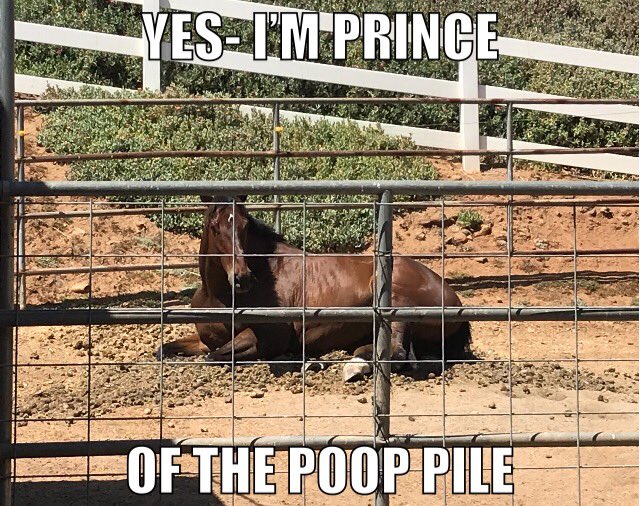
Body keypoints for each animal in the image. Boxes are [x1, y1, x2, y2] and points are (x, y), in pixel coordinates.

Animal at [158, 196, 471, 380]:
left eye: (246, 225)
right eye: (214, 226)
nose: (243, 278)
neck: (221, 297)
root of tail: (452, 297)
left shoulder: (268, 338)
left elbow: (215, 356)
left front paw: (294, 357)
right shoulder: (204, 340)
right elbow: (164, 350)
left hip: (395, 300)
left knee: (397, 352)